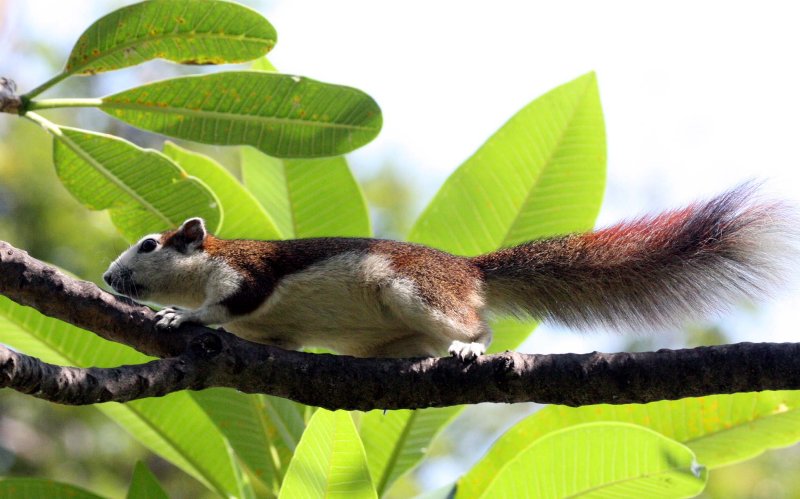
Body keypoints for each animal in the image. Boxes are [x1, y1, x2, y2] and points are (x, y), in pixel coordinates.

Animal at [104, 184, 792, 360]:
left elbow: (226, 304)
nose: (109, 280)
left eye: (147, 244)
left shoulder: (244, 273)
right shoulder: (275, 335)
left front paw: (180, 314)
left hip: (415, 289)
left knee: (477, 326)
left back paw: (471, 349)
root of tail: (468, 269)